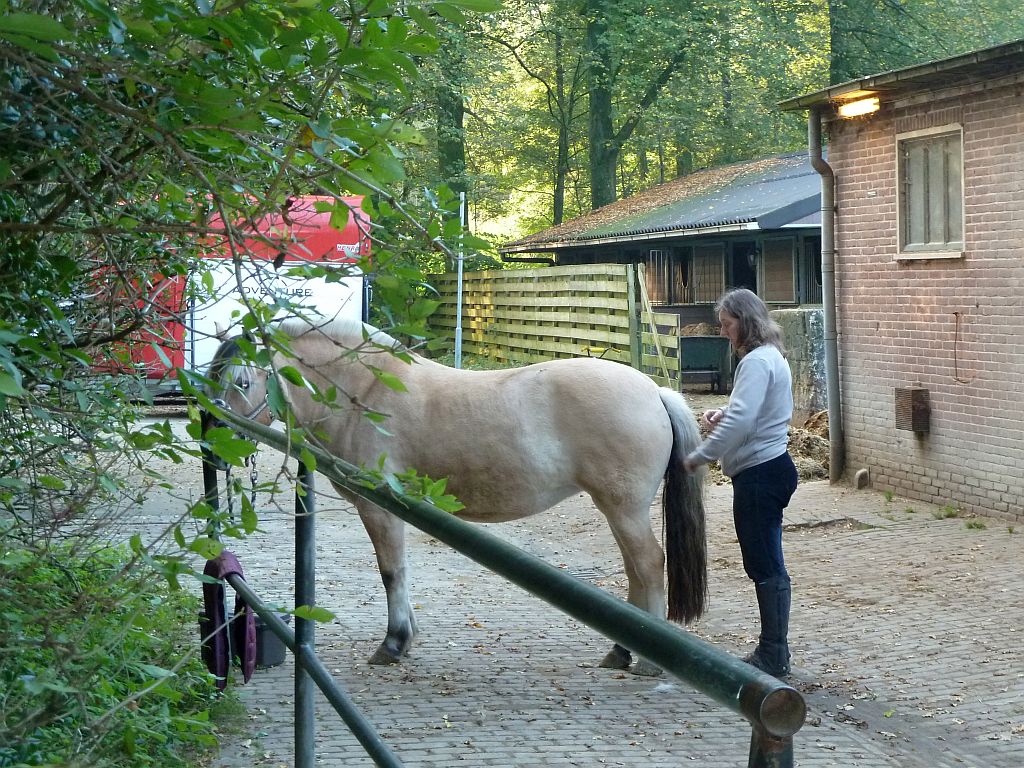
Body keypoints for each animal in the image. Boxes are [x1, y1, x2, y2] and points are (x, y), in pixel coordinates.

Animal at [204, 315, 708, 675]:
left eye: (243, 381)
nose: (213, 439)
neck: (364, 391)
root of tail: (654, 391)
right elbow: (398, 572)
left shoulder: (380, 509)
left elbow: (392, 572)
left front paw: (394, 643)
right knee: (636, 571)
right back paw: (621, 652)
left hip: (624, 509)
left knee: (648, 566)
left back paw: (645, 662)